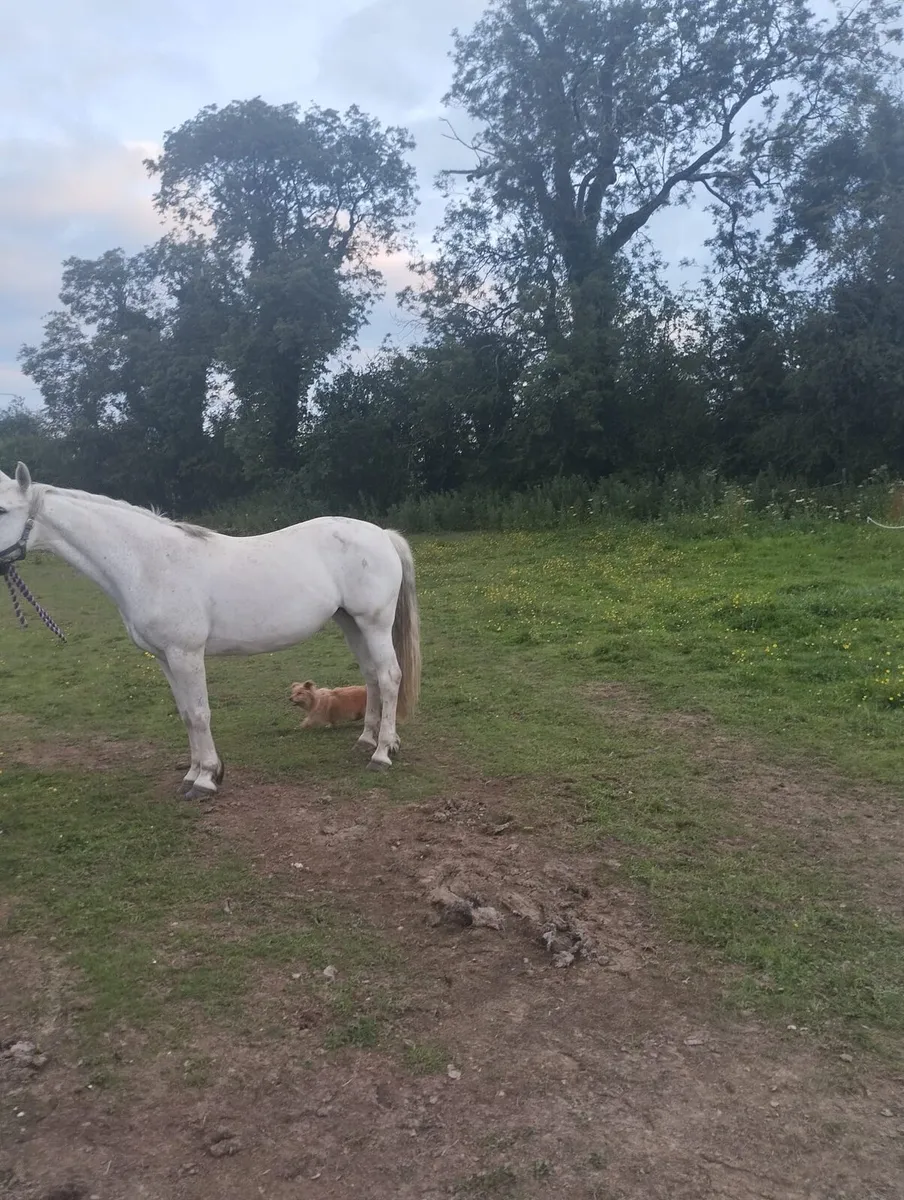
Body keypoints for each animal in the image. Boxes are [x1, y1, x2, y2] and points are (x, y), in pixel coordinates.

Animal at [0, 462, 420, 798]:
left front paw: (205, 781)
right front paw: (195, 773)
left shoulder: (186, 654)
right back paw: (367, 740)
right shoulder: (165, 658)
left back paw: (382, 753)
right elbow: (187, 713)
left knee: (389, 676)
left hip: (373, 623)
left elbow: (201, 713)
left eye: (3, 508)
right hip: (351, 623)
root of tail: (382, 534)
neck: (150, 562)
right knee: (371, 675)